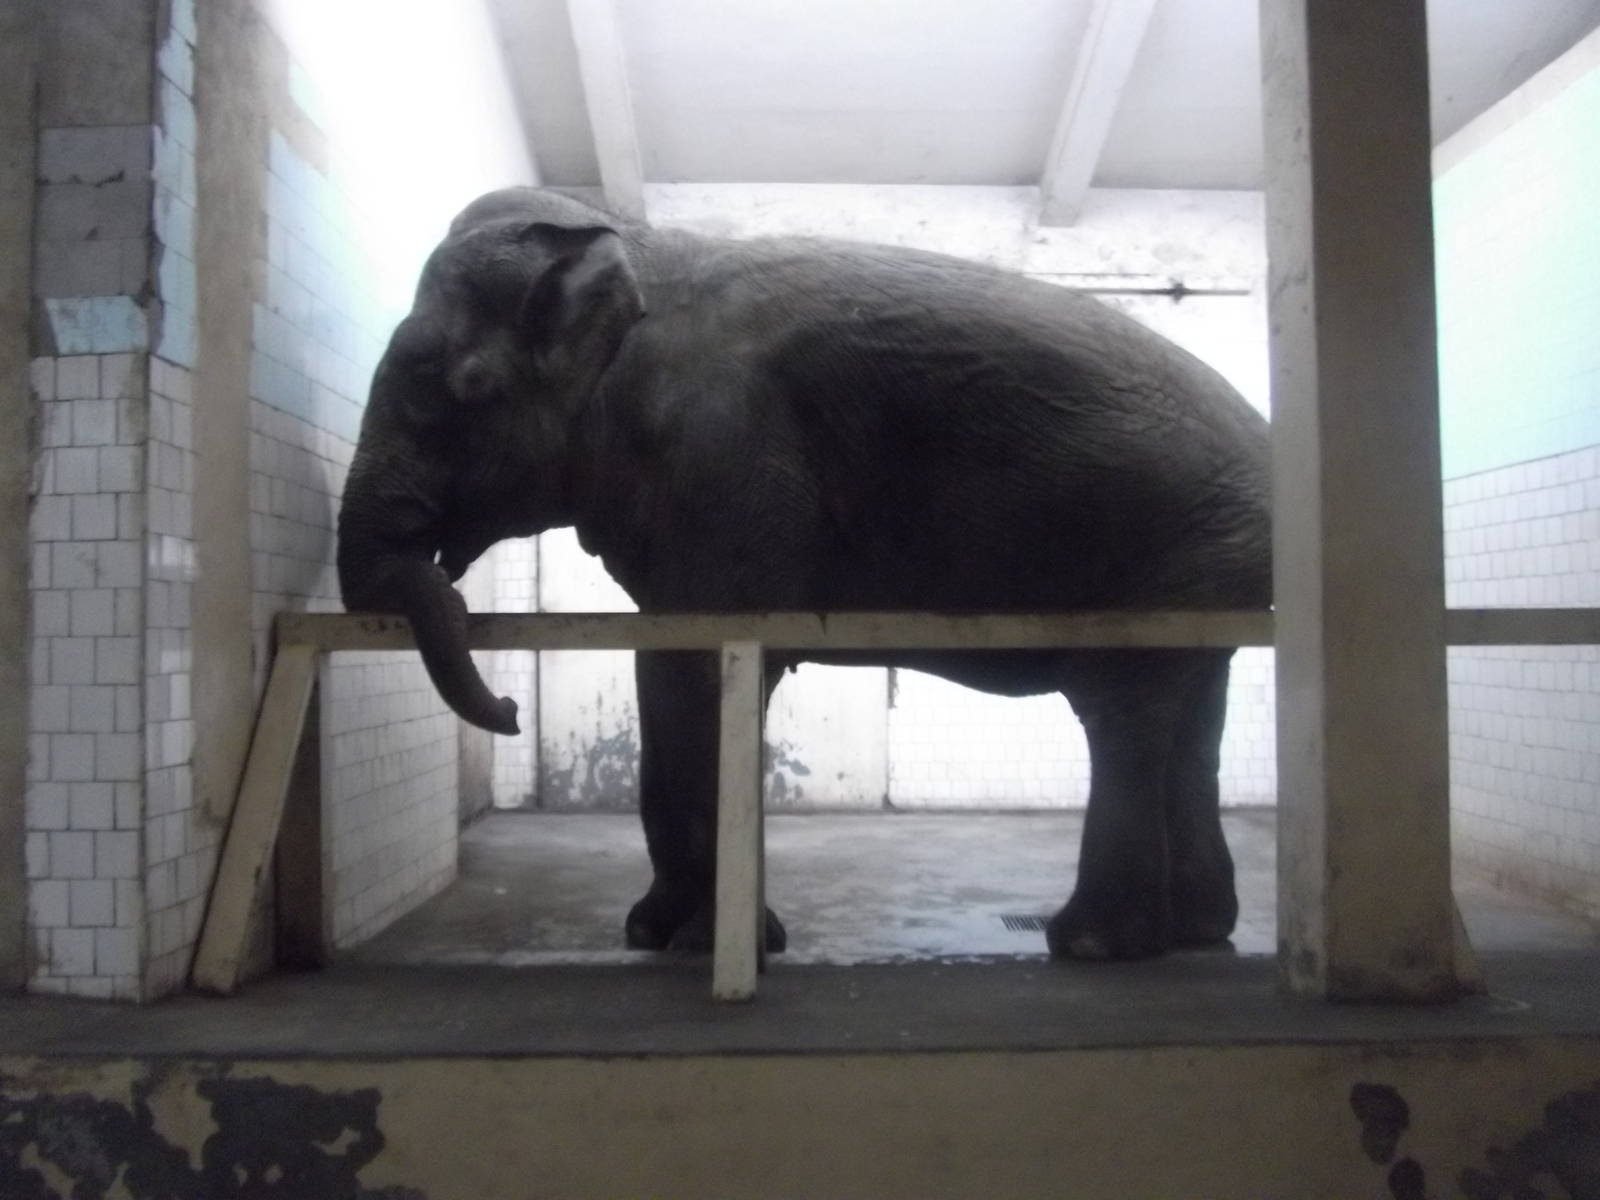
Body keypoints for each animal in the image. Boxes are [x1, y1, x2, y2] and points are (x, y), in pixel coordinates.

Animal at [336, 186, 1272, 962]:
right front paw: (652, 937)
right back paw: (1197, 933)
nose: (509, 709)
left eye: (462, 388)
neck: (635, 248)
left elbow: (703, 667)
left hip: (1182, 544)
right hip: (1205, 561)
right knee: (1190, 708)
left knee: (1123, 703)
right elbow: (663, 665)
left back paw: (1090, 946)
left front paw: (714, 946)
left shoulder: (723, 455)